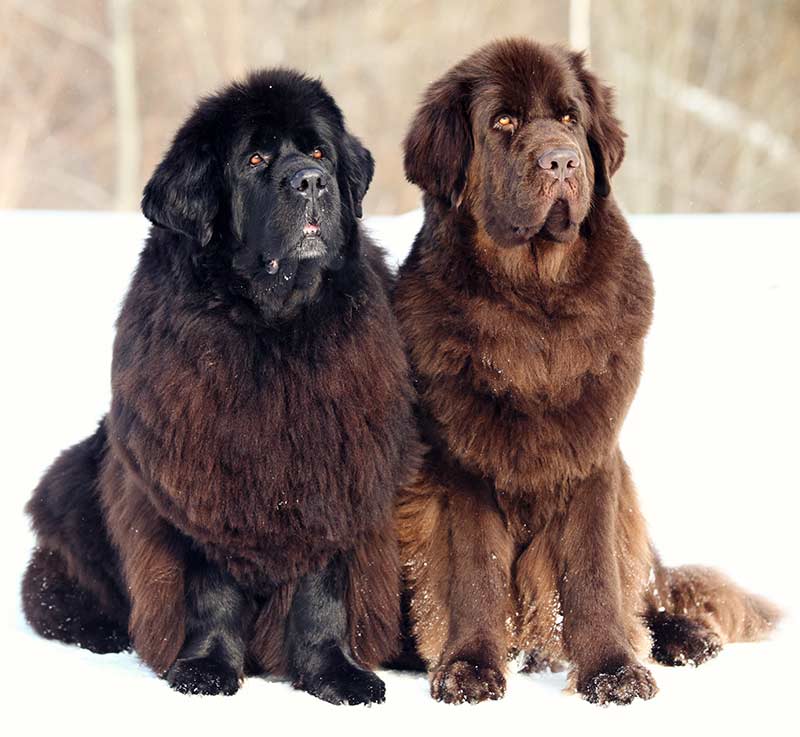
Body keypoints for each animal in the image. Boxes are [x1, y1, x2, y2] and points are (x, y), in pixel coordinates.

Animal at [23, 67, 418, 700]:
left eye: (318, 152)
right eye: (255, 159)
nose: (310, 182)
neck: (272, 330)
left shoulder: (334, 475)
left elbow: (323, 592)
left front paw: (337, 674)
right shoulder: (197, 480)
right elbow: (211, 588)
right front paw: (206, 669)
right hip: (77, 477)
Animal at [394, 37, 780, 704]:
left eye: (570, 118)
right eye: (503, 122)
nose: (561, 161)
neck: (536, 304)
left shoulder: (594, 454)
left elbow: (595, 570)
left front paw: (614, 672)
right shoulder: (460, 465)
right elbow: (476, 570)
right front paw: (469, 668)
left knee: (648, 590)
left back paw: (684, 637)